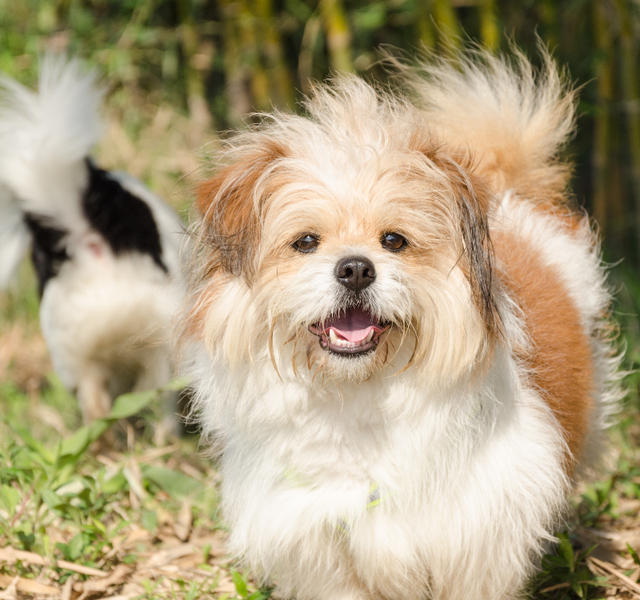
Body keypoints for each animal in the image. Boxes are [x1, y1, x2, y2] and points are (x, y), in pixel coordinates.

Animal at [178, 50, 616, 600]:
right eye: (305, 242)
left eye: (394, 240)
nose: (355, 268)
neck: (358, 393)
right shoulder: (324, 546)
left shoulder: (474, 541)